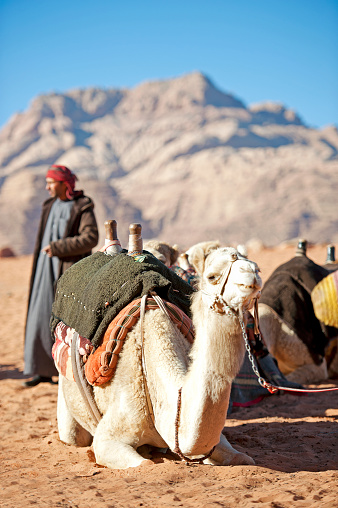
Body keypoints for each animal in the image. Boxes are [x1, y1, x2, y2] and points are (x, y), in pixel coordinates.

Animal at [56, 246, 262, 468]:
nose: (252, 273)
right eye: (212, 276)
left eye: (255, 265)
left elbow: (242, 457)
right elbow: (142, 463)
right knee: (73, 436)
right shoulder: (109, 435)